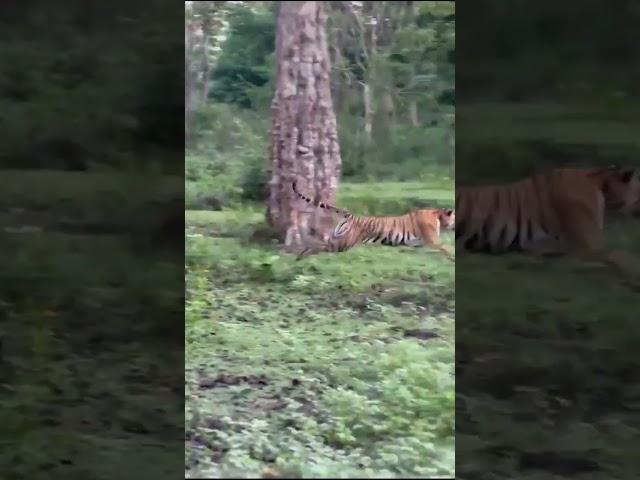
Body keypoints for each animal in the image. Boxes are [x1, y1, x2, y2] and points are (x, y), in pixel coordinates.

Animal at [290, 182, 456, 260]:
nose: (456, 226)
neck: (438, 215)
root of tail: (351, 216)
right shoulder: (433, 240)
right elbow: (447, 247)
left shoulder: (418, 243)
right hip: (343, 244)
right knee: (320, 246)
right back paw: (302, 256)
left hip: (338, 237)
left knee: (319, 243)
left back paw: (300, 255)